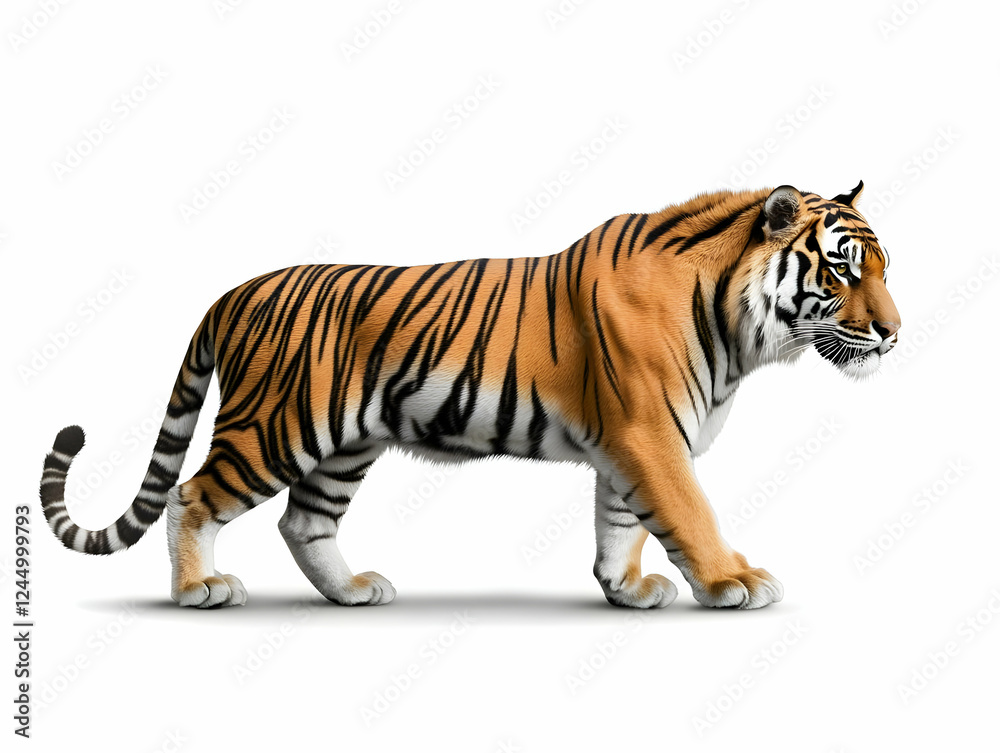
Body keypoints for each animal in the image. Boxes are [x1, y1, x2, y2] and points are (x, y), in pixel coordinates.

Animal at [39, 181, 899, 609]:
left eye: (886, 268)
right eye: (843, 269)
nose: (894, 333)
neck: (737, 322)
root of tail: (233, 292)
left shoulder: (628, 443)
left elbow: (621, 522)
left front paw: (625, 589)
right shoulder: (651, 433)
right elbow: (688, 512)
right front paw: (732, 582)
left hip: (344, 444)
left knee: (303, 521)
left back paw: (353, 591)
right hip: (276, 428)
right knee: (190, 497)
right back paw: (198, 590)